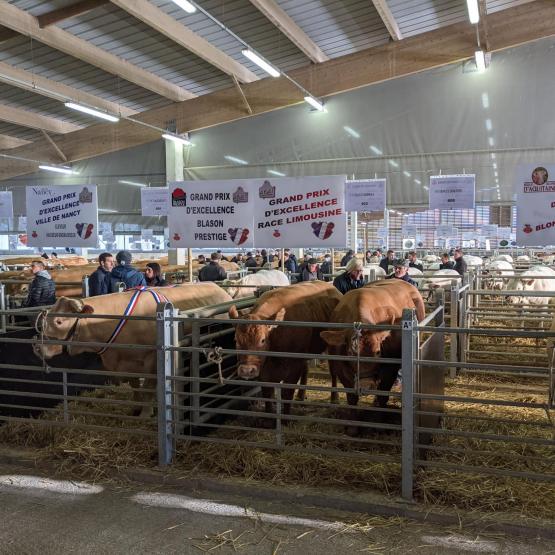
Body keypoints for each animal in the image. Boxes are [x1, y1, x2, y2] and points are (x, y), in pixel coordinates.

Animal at [33, 284, 232, 414]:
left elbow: (148, 388)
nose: (38, 347)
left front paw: (146, 413)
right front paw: (136, 408)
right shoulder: (125, 365)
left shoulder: (152, 359)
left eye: (59, 321)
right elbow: (135, 385)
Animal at [229, 282, 344, 422]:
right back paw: (300, 396)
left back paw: (334, 398)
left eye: (262, 340)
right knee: (306, 369)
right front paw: (269, 418)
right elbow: (267, 393)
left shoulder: (293, 367)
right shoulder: (264, 370)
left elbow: (286, 393)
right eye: (236, 340)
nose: (246, 370)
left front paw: (285, 419)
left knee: (333, 372)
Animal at [322, 280, 426, 432]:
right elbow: (351, 398)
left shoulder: (390, 369)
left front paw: (378, 423)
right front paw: (353, 428)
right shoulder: (342, 370)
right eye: (350, 353)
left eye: (378, 352)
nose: (366, 385)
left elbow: (383, 395)